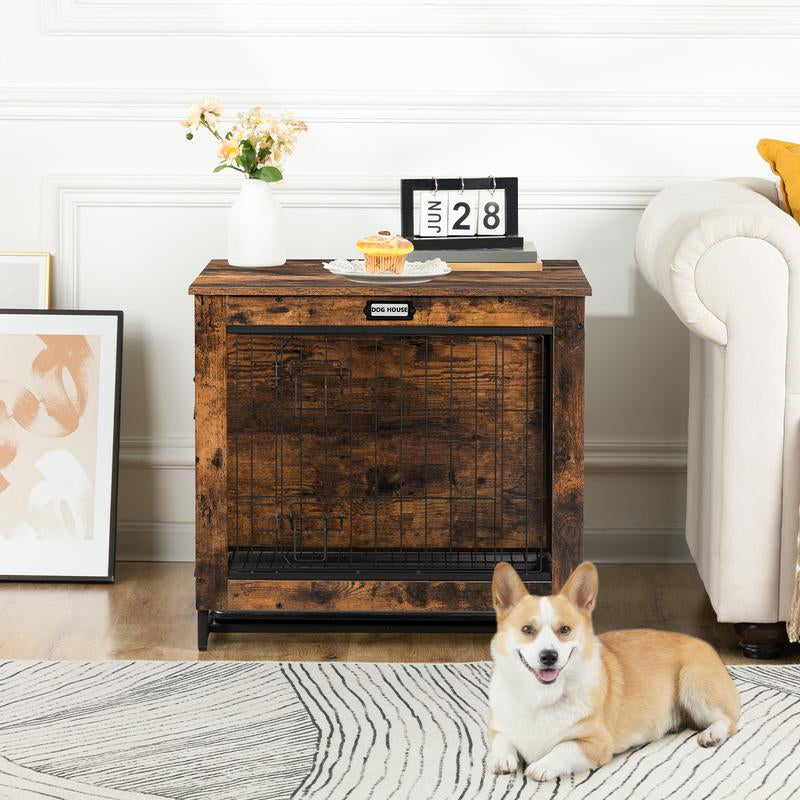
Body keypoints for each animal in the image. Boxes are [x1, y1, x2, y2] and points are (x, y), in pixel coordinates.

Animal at [490, 556, 740, 780]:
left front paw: (542, 766)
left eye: (564, 630)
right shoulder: (496, 727)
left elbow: (563, 748)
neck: (541, 695)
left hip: (693, 685)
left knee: (728, 720)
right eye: (527, 629)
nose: (549, 657)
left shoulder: (596, 744)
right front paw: (503, 759)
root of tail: (706, 645)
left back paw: (712, 734)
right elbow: (501, 740)